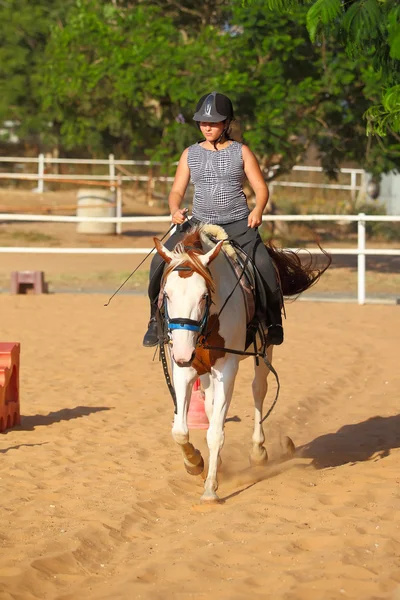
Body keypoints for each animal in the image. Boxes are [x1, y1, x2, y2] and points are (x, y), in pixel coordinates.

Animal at [153, 225, 328, 502]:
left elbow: (216, 433)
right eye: (166, 294)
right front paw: (195, 462)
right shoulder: (185, 368)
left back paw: (258, 452)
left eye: (204, 295)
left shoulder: (227, 369)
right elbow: (180, 430)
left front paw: (210, 489)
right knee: (211, 404)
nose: (183, 352)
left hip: (264, 352)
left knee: (258, 390)